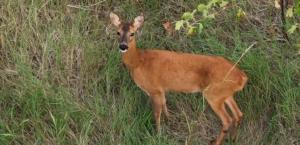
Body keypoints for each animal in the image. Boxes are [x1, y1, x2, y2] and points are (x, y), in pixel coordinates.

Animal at [109, 12, 247, 145]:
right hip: (225, 94)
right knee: (238, 114)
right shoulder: (161, 90)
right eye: (118, 32)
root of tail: (242, 77)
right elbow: (164, 104)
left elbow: (156, 114)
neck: (138, 62)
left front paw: (158, 134)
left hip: (214, 94)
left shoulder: (154, 89)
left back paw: (216, 142)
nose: (123, 46)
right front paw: (169, 120)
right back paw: (233, 139)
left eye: (132, 33)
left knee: (228, 119)